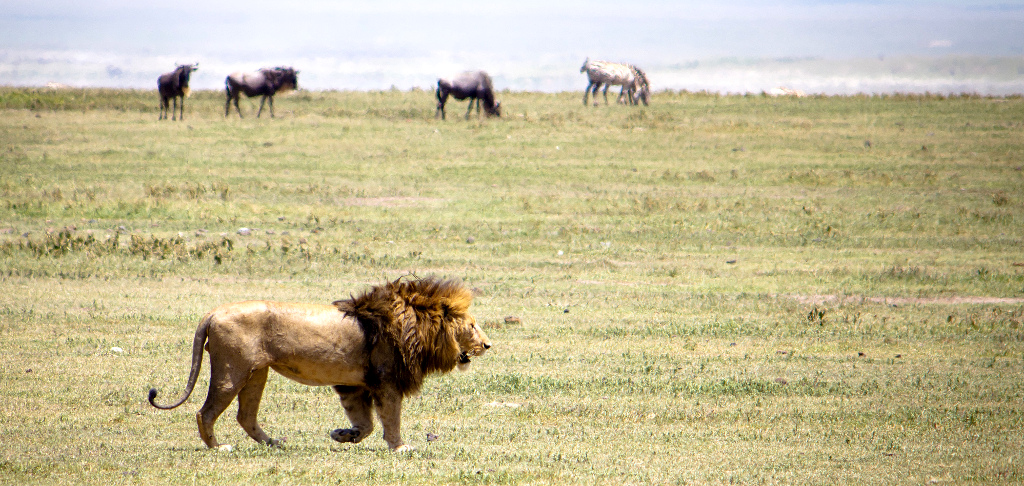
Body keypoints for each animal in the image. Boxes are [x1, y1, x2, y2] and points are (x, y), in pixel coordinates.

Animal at [148, 276, 491, 452]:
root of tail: (213, 312)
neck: (417, 325)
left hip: (257, 373)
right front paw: (400, 447)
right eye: (473, 326)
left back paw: (275, 443)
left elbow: (365, 423)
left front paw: (343, 435)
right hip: (232, 371)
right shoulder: (387, 381)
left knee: (246, 416)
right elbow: (391, 419)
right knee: (204, 412)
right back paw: (218, 447)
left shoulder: (354, 384)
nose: (489, 345)